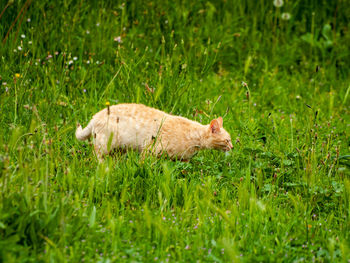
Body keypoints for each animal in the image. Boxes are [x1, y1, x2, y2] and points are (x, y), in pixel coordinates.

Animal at [75, 104, 232, 162]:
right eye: (227, 140)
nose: (232, 147)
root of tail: (96, 116)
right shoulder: (150, 149)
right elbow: (143, 164)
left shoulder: (183, 160)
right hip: (105, 144)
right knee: (97, 155)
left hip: (119, 149)